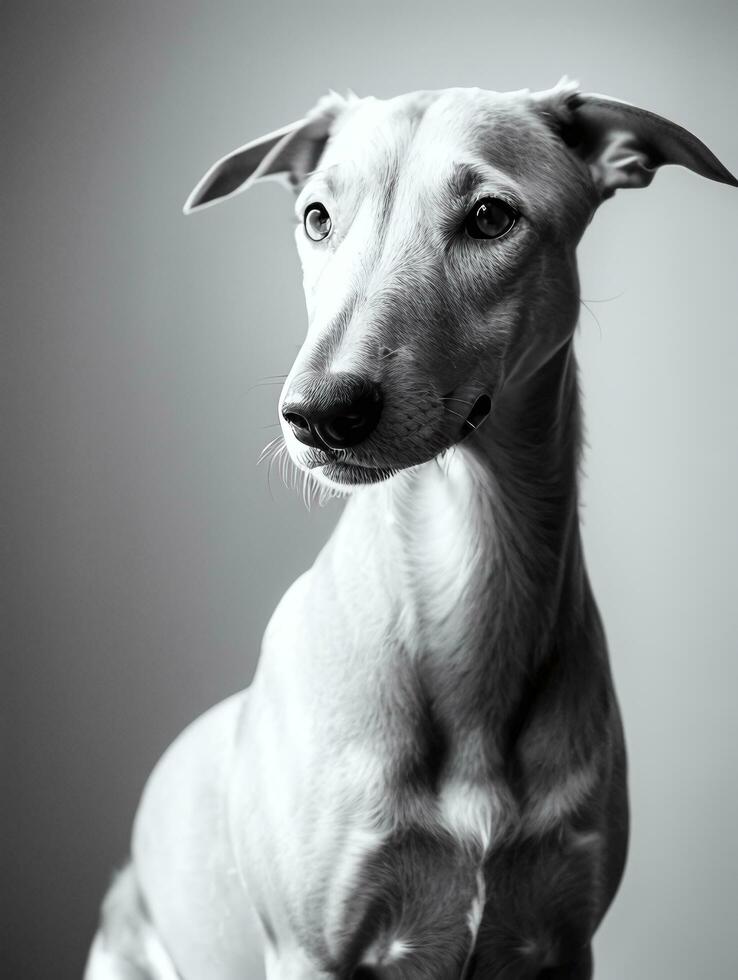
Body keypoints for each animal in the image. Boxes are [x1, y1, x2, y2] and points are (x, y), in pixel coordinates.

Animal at [87, 80, 736, 976]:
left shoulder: (565, 943)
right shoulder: (309, 951)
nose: (319, 413)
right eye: (317, 217)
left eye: (491, 216)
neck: (463, 583)